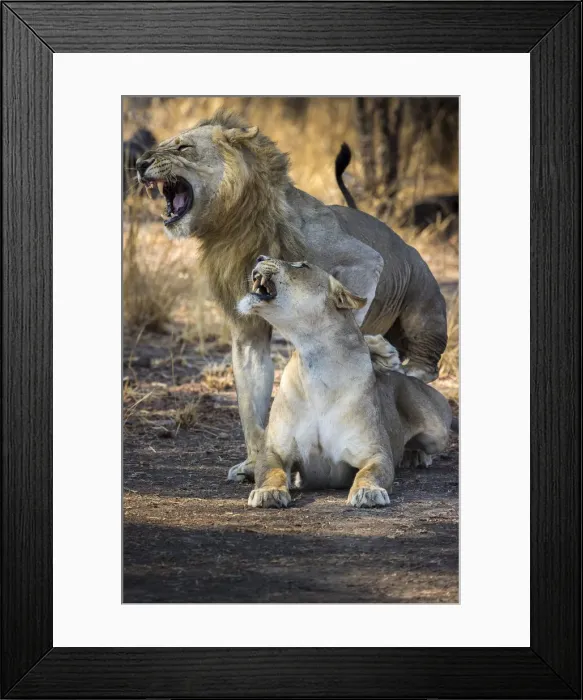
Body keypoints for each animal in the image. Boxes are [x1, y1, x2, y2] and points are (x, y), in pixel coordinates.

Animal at [135, 110, 447, 480]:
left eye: (184, 147)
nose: (139, 163)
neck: (234, 225)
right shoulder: (247, 329)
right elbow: (250, 403)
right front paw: (255, 463)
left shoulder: (363, 259)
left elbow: (348, 307)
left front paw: (373, 350)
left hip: (425, 323)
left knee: (422, 372)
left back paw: (415, 446)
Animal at [236, 257, 454, 508]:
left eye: (302, 265)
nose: (260, 257)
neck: (317, 361)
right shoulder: (275, 450)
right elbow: (271, 472)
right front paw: (267, 492)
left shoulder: (374, 452)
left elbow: (369, 473)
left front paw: (368, 492)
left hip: (437, 430)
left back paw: (416, 455)